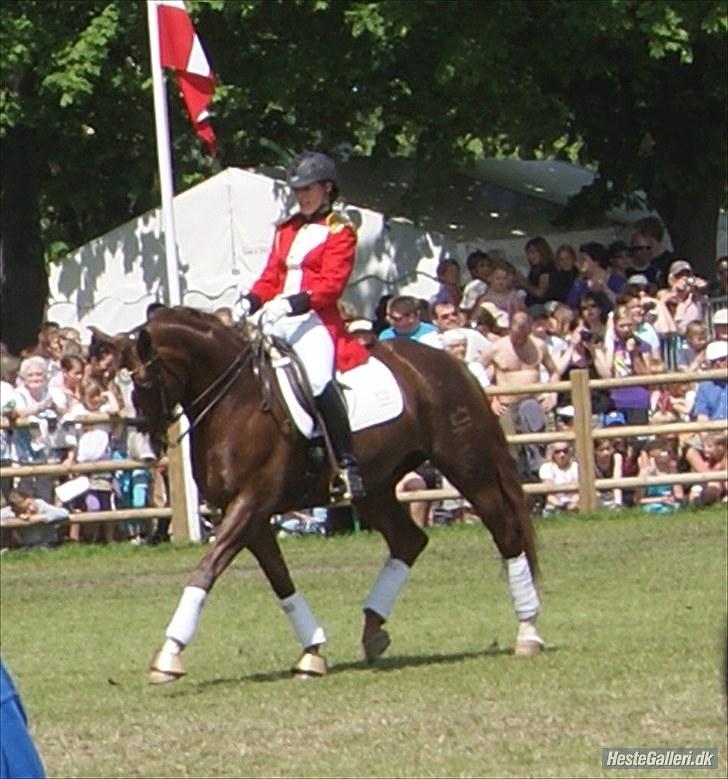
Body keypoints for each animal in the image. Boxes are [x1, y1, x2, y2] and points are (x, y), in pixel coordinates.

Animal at [95, 304, 540, 684]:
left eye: (143, 381)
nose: (144, 451)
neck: (236, 401)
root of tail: (450, 363)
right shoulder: (249, 515)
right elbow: (280, 579)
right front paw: (312, 652)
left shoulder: (251, 504)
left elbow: (206, 569)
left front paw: (168, 655)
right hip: (375, 489)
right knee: (409, 540)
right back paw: (373, 628)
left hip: (467, 466)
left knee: (506, 532)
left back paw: (528, 631)